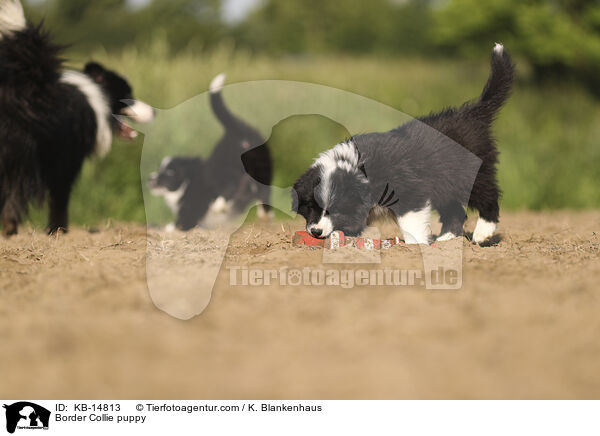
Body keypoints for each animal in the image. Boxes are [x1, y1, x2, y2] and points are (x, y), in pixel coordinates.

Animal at [149, 74, 274, 232]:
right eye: (160, 169)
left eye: (169, 173)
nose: (150, 179)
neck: (187, 180)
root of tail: (240, 135)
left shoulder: (190, 211)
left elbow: (177, 224)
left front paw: (162, 228)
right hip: (262, 171)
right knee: (263, 192)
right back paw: (264, 214)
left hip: (227, 170)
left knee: (229, 188)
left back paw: (219, 205)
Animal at [292, 43, 512, 245]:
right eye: (311, 206)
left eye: (334, 209)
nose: (316, 231)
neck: (356, 167)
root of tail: (471, 114)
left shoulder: (409, 189)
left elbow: (410, 220)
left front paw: (415, 246)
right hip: (445, 184)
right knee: (454, 209)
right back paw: (446, 238)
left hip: (468, 174)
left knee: (488, 195)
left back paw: (482, 232)